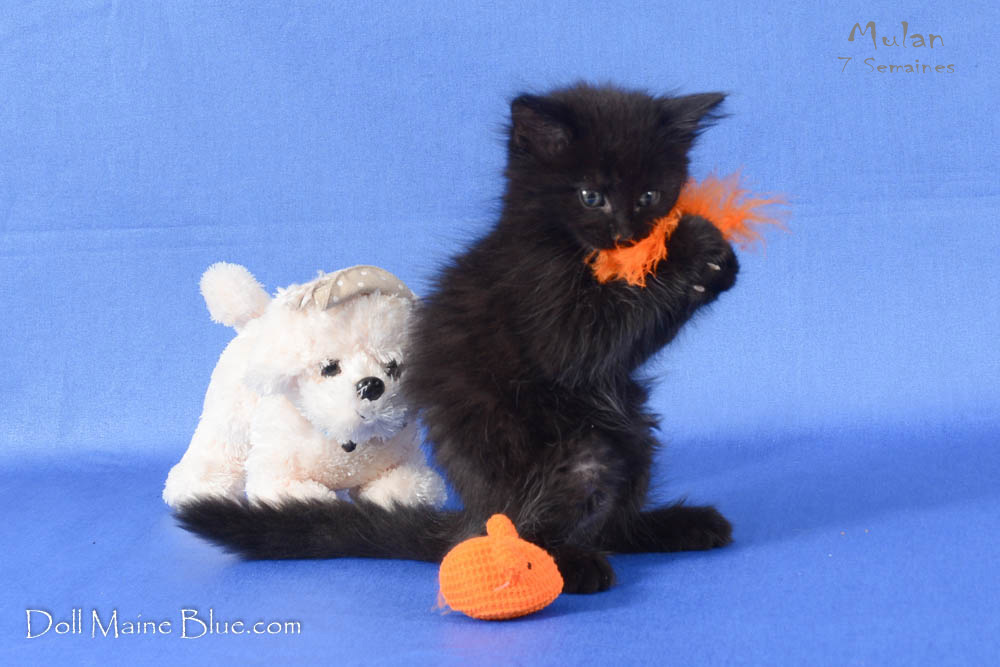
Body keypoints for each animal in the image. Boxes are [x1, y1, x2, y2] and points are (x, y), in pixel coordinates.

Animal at [178, 83, 738, 594]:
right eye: (590, 196)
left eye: (650, 196)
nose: (627, 235)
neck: (555, 242)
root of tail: (472, 516)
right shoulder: (543, 309)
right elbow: (592, 338)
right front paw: (690, 249)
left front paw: (715, 263)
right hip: (580, 456)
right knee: (523, 532)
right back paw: (571, 565)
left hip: (633, 436)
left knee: (612, 525)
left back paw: (678, 526)